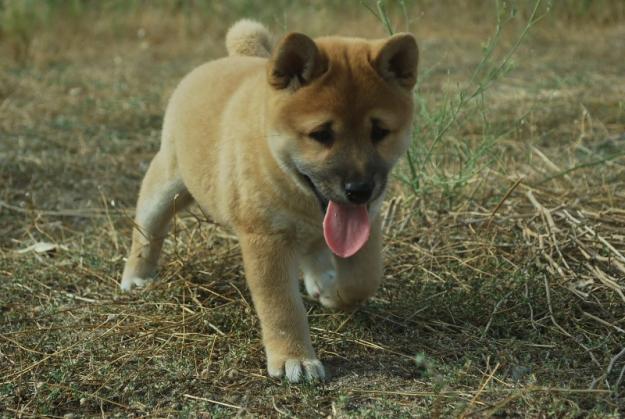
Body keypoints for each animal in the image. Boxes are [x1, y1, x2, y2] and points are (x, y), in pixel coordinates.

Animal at [120, 20, 416, 384]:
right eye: (322, 135)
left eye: (379, 132)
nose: (359, 190)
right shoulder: (267, 240)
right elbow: (282, 308)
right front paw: (294, 358)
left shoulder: (367, 223)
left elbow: (363, 279)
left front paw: (334, 295)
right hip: (167, 185)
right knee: (147, 230)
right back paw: (136, 277)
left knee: (316, 248)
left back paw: (322, 280)